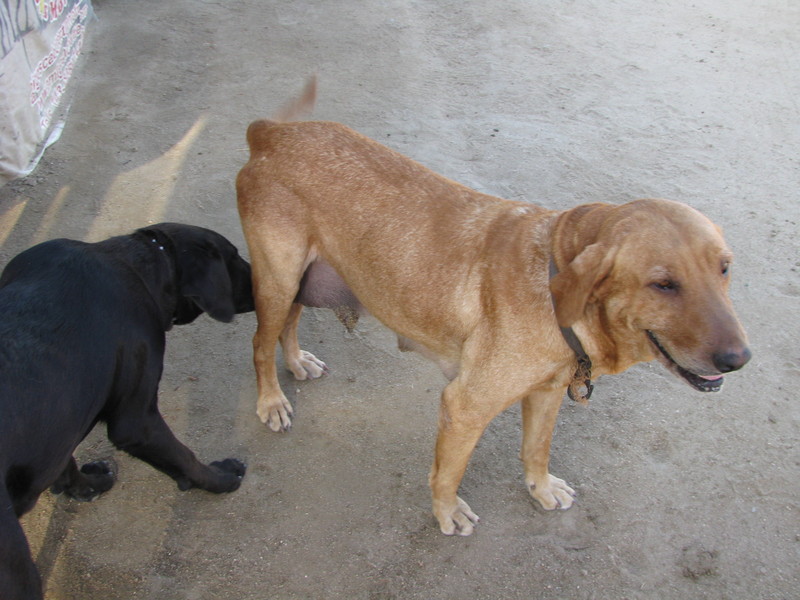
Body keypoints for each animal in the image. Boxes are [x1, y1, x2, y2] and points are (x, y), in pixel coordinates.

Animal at [0, 223, 254, 599]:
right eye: (234, 256)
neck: (145, 262)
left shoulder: (62, 423)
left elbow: (65, 462)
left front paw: (87, 485)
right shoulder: (137, 421)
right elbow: (186, 458)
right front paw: (221, 477)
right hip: (17, 569)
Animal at [236, 79, 750, 536]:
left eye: (725, 268)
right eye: (663, 284)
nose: (740, 359)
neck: (554, 282)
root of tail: (271, 132)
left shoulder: (546, 393)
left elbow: (536, 449)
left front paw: (541, 488)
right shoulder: (464, 406)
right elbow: (448, 472)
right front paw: (447, 512)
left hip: (303, 280)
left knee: (286, 328)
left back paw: (297, 362)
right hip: (278, 279)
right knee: (259, 343)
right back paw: (271, 401)